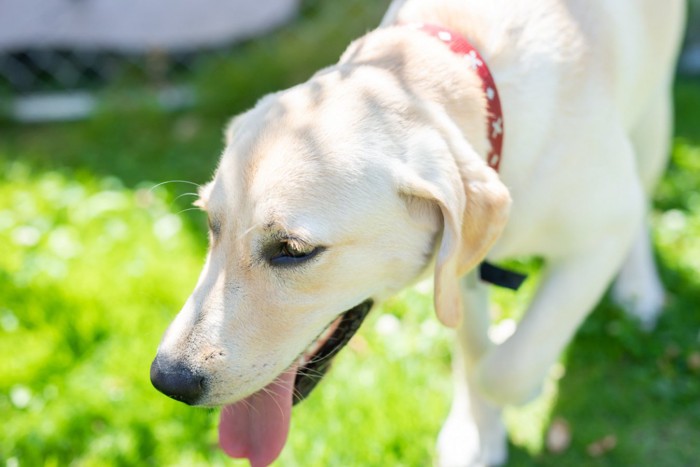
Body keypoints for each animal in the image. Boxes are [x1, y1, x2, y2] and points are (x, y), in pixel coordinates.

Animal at [150, 1, 688, 466]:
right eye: (211, 225)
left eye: (294, 250)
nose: (167, 381)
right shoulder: (464, 263)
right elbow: (474, 349)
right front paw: (478, 431)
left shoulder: (599, 236)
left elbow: (507, 367)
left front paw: (527, 379)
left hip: (652, 122)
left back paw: (638, 288)